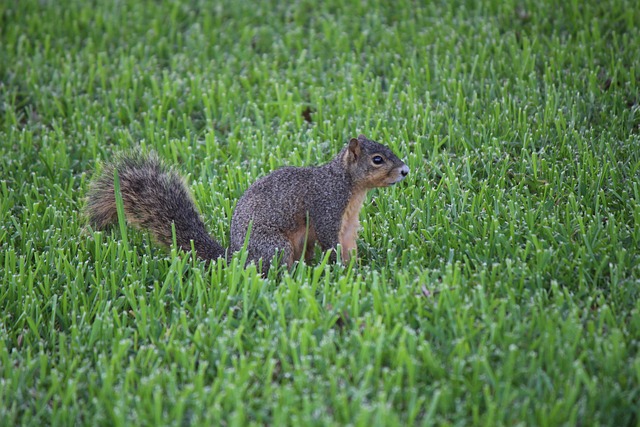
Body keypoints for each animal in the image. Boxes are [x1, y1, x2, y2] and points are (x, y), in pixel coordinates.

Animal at [85, 135, 410, 274]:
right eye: (377, 159)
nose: (405, 170)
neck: (350, 186)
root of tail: (234, 257)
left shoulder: (349, 222)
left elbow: (348, 244)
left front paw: (357, 267)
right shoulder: (326, 206)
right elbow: (330, 241)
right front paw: (341, 271)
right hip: (274, 246)